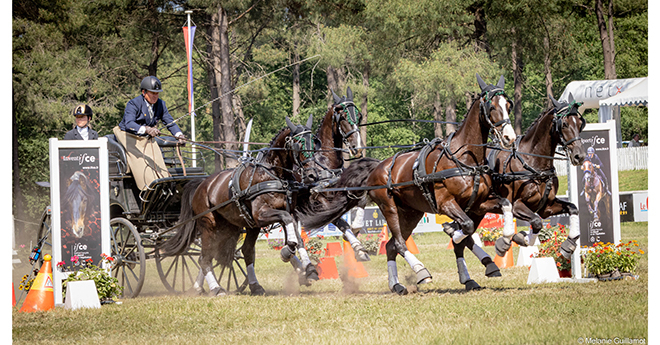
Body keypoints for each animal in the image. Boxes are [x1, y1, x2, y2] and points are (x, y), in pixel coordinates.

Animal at [161, 119, 314, 296]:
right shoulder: (261, 215)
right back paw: (216, 288)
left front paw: (307, 269)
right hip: (209, 225)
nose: (311, 173)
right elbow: (290, 234)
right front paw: (288, 253)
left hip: (234, 227)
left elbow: (298, 238)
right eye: (299, 143)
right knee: (204, 258)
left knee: (240, 252)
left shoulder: (287, 212)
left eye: (314, 141)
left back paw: (249, 286)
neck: (272, 175)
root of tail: (201, 184)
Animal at [302, 73, 520, 292]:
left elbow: (504, 206)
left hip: (410, 213)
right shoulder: (446, 203)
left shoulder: (478, 202)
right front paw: (454, 233)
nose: (510, 137)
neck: (463, 159)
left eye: (508, 105)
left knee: (391, 246)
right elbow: (466, 227)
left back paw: (396, 285)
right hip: (389, 208)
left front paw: (503, 242)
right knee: (398, 243)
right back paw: (421, 271)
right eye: (492, 106)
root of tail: (377, 167)